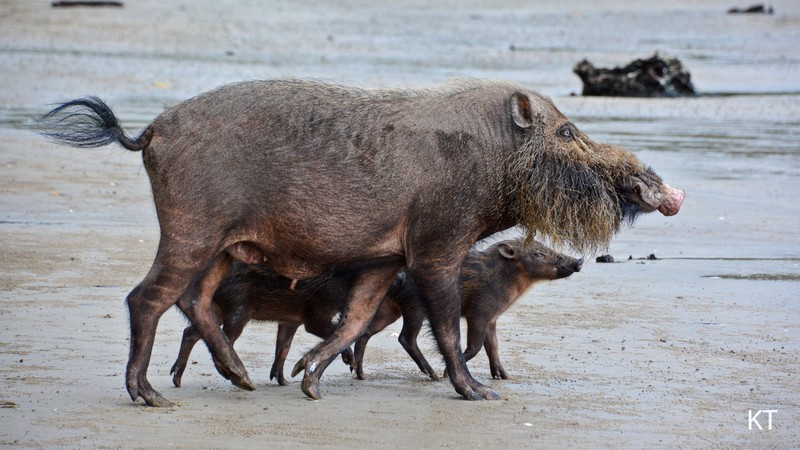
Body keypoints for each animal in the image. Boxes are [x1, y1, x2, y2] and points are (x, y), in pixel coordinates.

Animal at [40, 76, 684, 404]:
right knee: (146, 297)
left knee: (194, 301)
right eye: (567, 131)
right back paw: (153, 397)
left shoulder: (382, 257)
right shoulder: (435, 241)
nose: (663, 189)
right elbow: (445, 323)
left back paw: (244, 381)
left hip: (222, 246)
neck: (493, 159)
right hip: (191, 228)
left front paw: (309, 382)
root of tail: (148, 131)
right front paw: (482, 394)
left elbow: (353, 321)